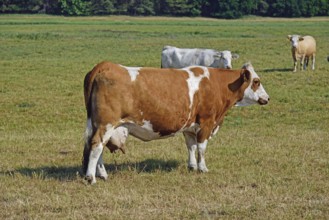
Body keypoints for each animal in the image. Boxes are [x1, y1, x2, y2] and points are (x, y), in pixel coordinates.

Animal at [82, 60, 270, 184]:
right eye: (256, 81)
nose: (267, 98)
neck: (216, 84)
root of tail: (106, 65)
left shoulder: (190, 127)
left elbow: (191, 147)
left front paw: (192, 166)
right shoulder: (207, 123)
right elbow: (201, 148)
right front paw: (202, 168)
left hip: (99, 124)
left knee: (97, 147)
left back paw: (102, 174)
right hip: (106, 124)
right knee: (97, 145)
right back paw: (91, 177)